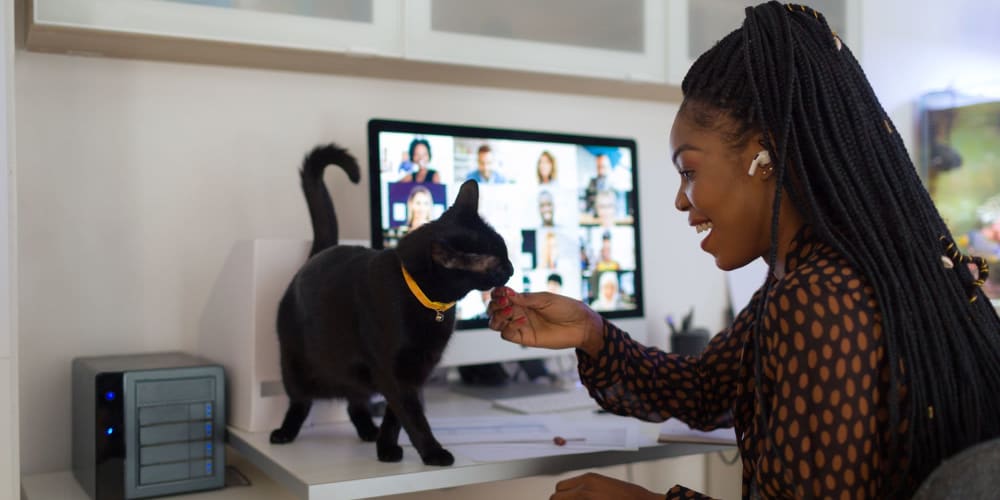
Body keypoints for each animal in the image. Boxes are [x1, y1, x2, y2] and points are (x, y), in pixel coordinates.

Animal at [270, 143, 512, 466]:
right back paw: (285, 432)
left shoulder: (416, 370)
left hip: (352, 375)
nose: (512, 269)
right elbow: (412, 416)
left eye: (506, 252)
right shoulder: (394, 371)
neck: (430, 305)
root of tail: (317, 254)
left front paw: (385, 448)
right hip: (295, 365)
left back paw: (367, 431)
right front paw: (433, 452)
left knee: (355, 403)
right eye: (496, 263)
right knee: (300, 401)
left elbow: (396, 415)